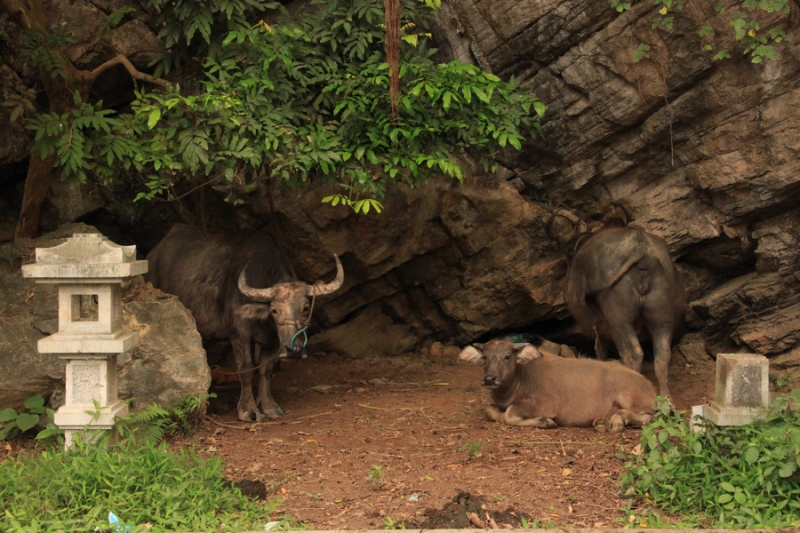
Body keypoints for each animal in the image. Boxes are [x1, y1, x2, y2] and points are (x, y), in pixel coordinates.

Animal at [145, 223, 344, 420]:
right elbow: (246, 369)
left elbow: (266, 370)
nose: (294, 350)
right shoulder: (239, 334)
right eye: (274, 310)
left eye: (305, 307)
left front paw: (268, 405)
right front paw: (248, 409)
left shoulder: (273, 341)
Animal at [456, 338, 656, 430]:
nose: (490, 378)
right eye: (485, 357)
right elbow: (490, 411)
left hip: (631, 398)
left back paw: (618, 420)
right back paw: (602, 421)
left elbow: (510, 413)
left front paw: (544, 421)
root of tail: (648, 385)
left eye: (507, 356)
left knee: (649, 416)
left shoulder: (546, 403)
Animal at [564, 220, 688, 400]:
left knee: (633, 353)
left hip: (620, 320)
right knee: (663, 354)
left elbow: (601, 350)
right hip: (661, 315)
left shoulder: (599, 328)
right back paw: (666, 398)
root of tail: (640, 250)